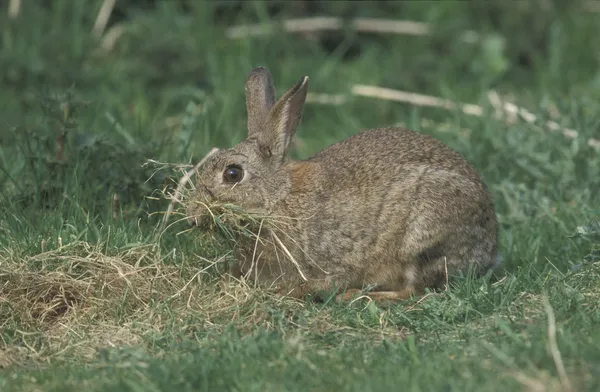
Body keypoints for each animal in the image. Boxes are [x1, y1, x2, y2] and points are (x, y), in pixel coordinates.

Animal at [185, 67, 500, 304]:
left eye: (233, 174)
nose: (192, 216)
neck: (278, 197)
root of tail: (489, 248)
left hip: (424, 235)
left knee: (413, 290)